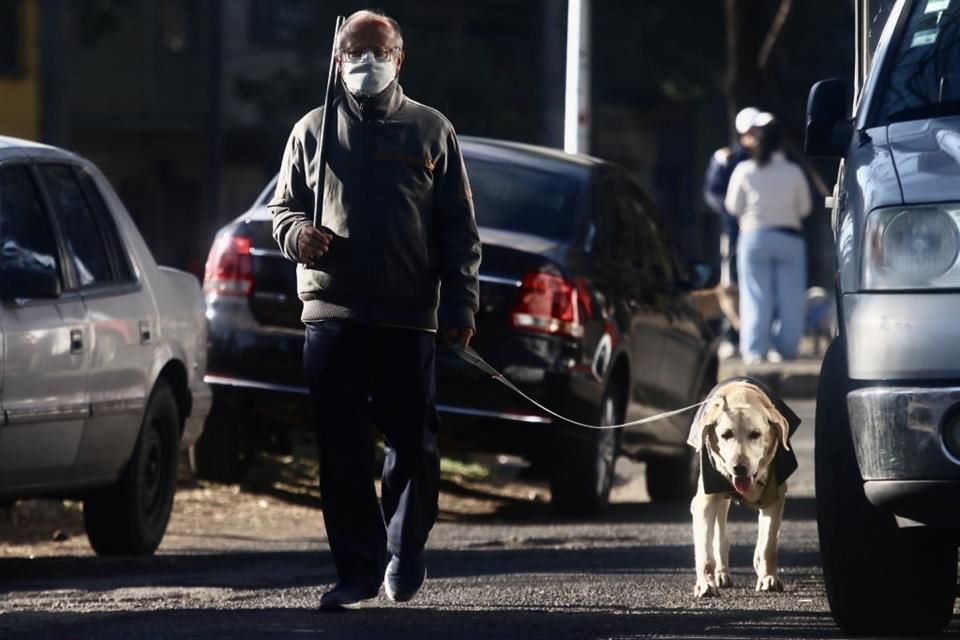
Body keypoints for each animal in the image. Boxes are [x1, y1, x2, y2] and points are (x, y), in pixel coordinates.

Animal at [688, 378, 800, 596]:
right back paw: (721, 573)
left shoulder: (775, 497)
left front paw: (768, 578)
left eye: (755, 434)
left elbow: (768, 545)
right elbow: (705, 551)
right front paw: (705, 583)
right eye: (726, 434)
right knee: (720, 538)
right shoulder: (705, 501)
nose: (739, 467)